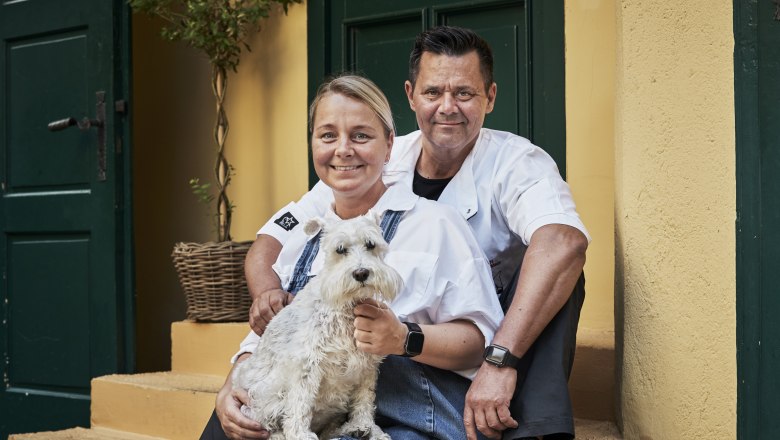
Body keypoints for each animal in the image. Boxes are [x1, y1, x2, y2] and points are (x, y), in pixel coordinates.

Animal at [232, 211, 402, 438]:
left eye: (370, 244)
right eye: (340, 249)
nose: (361, 273)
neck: (346, 306)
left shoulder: (366, 366)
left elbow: (364, 399)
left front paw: (363, 425)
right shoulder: (307, 363)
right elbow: (300, 402)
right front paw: (299, 434)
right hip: (267, 397)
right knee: (269, 426)